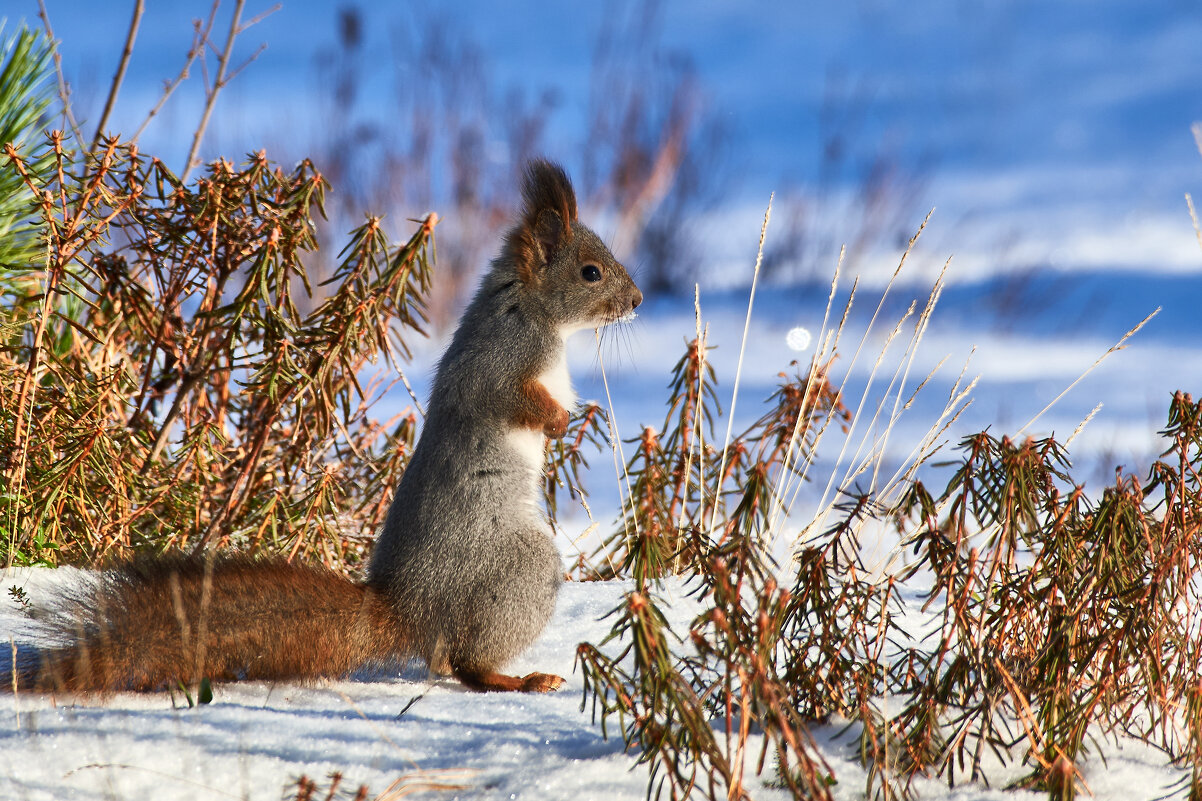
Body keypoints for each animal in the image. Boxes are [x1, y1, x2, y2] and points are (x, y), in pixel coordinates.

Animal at [4, 157, 644, 692]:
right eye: (591, 272)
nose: (637, 301)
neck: (534, 313)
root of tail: (407, 608)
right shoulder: (500, 362)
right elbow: (510, 399)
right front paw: (558, 420)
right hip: (518, 574)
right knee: (464, 664)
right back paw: (520, 680)